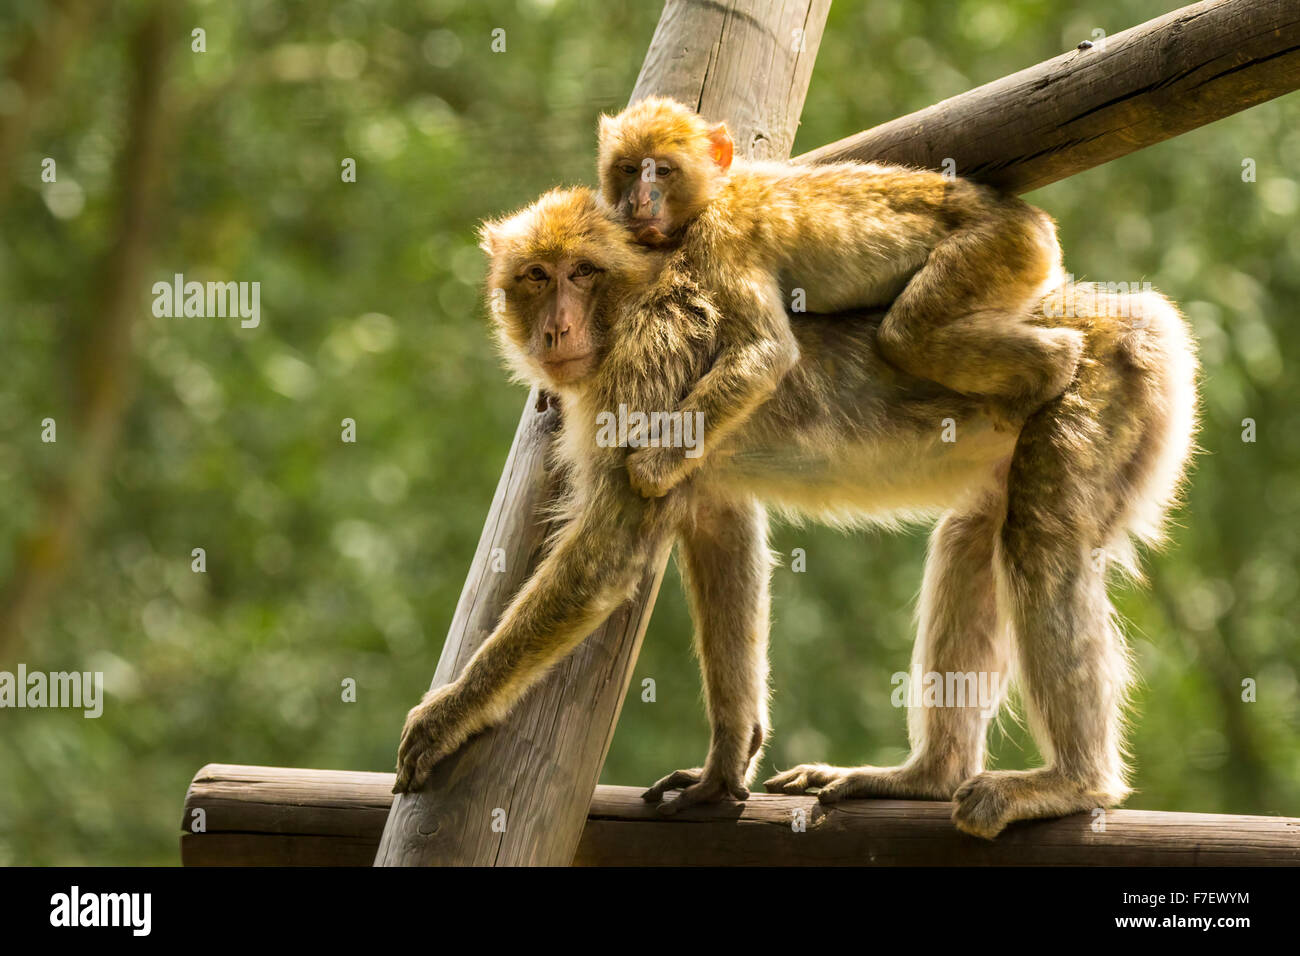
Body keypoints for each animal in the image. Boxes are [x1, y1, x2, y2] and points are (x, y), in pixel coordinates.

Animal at [393, 186, 1198, 841]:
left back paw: (1075, 782)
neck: (630, 304)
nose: (556, 329)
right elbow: (722, 532)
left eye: (582, 273)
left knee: (1040, 542)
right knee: (973, 540)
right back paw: (927, 776)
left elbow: (605, 559)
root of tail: (1131, 312)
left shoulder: (647, 366)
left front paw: (450, 712)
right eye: (536, 275)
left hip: (1105, 387)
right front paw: (723, 765)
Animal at [596, 96, 1086, 500]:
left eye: (662, 170)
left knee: (907, 336)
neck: (713, 194)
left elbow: (766, 352)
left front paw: (654, 468)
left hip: (998, 245)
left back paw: (1053, 365)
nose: (639, 201)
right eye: (628, 169)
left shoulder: (721, 238)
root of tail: (1035, 219)